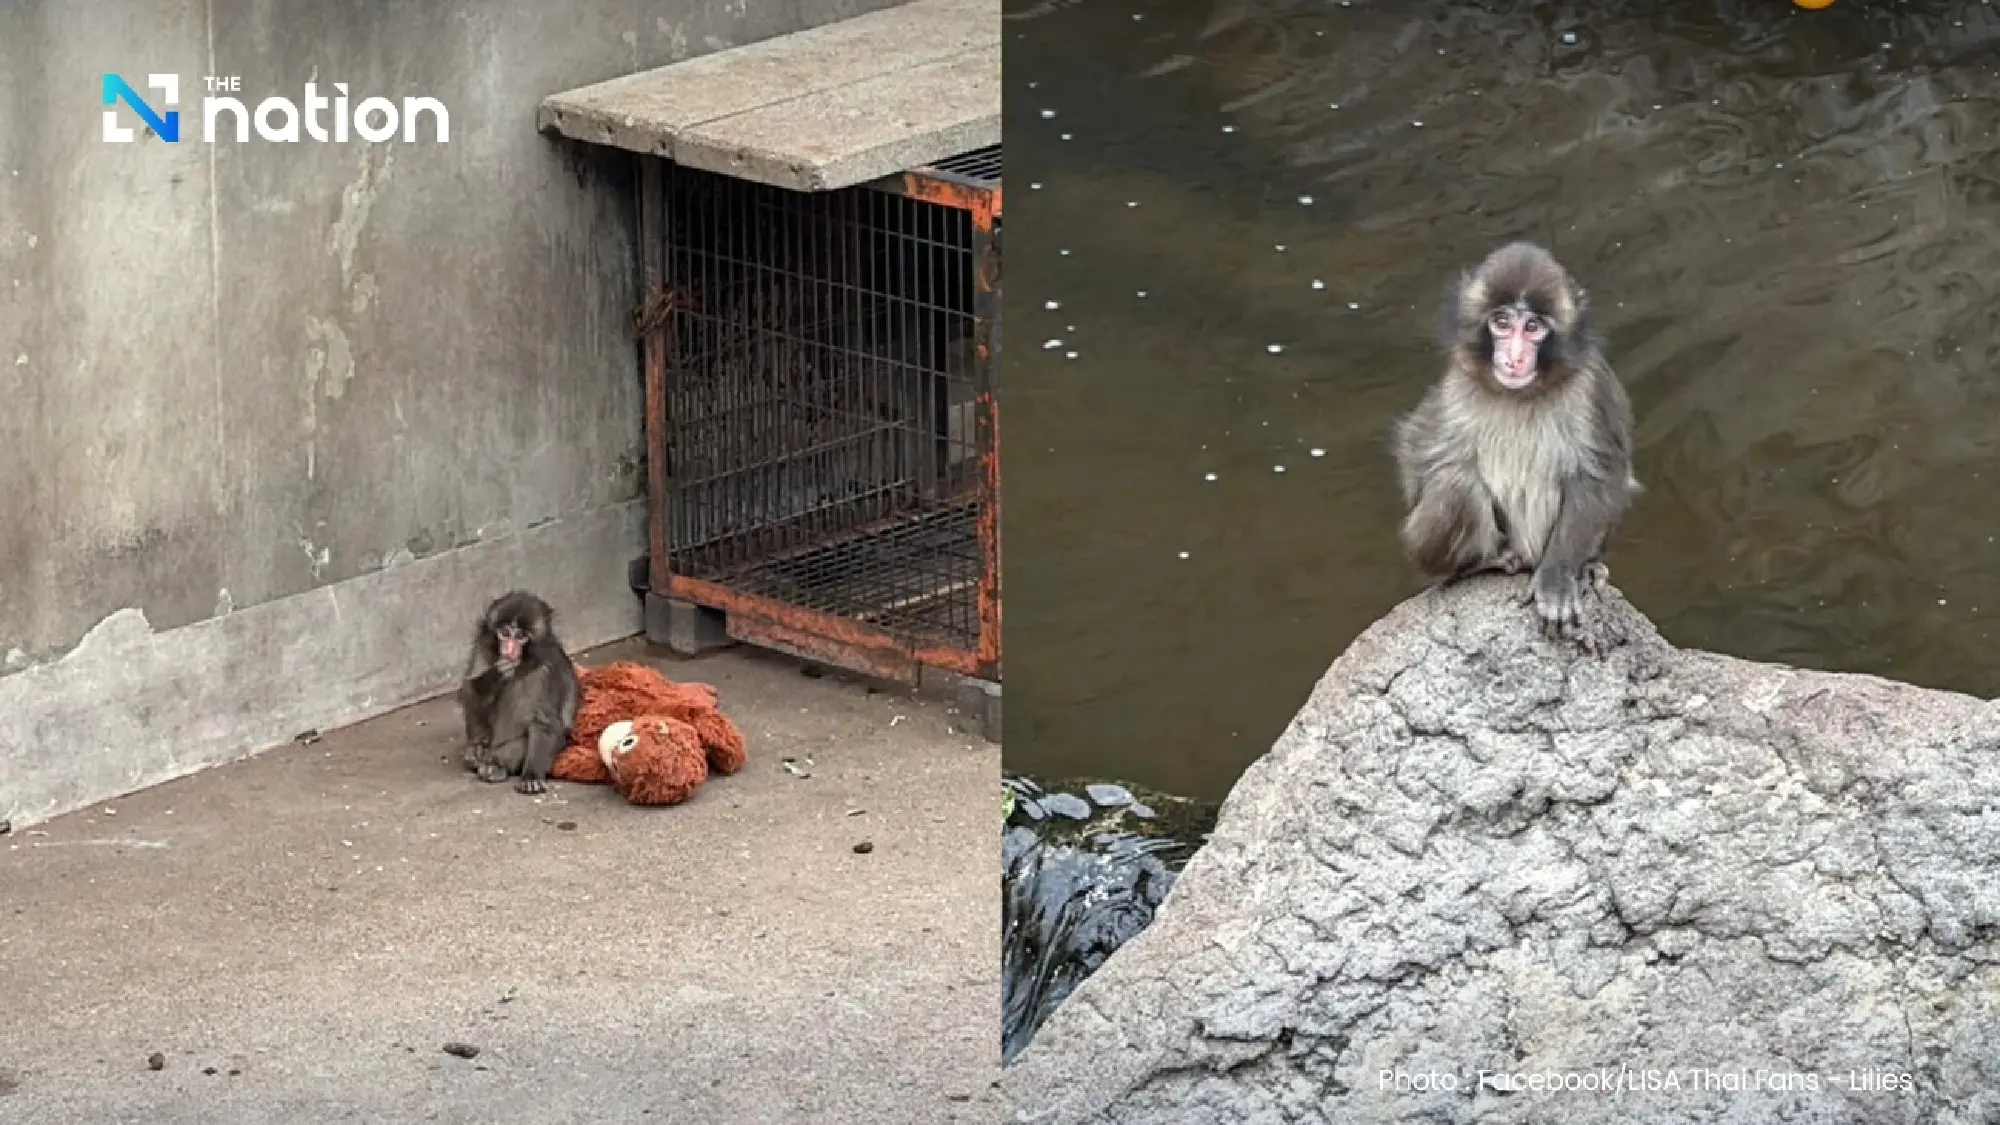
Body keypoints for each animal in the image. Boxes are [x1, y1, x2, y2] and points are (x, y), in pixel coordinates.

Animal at [456, 589, 580, 794]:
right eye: (505, 633)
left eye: (521, 636)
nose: (509, 650)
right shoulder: (481, 649)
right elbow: (470, 695)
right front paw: (496, 673)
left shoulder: (544, 672)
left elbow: (545, 724)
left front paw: (532, 775)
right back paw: (479, 753)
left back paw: (494, 765)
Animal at [1389, 241, 1641, 648]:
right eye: (1502, 323)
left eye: (1533, 327)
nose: (1515, 357)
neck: (1522, 394)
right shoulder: (1457, 383)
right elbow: (1419, 456)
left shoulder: (1593, 387)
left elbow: (1600, 475)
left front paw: (1558, 578)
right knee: (1455, 483)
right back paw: (1482, 562)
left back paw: (1584, 568)